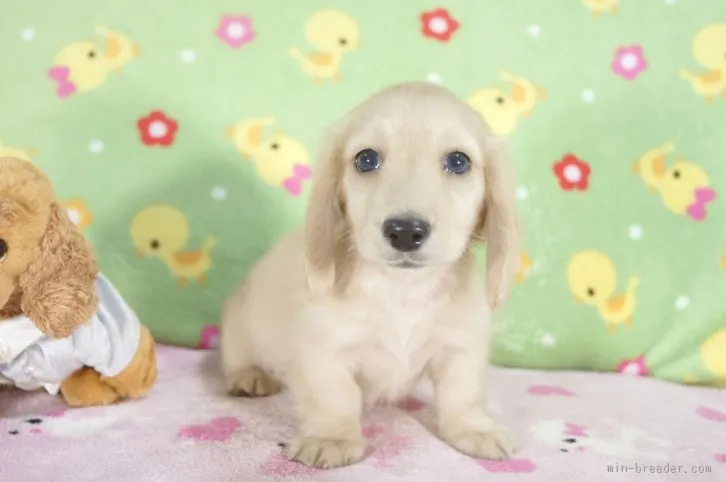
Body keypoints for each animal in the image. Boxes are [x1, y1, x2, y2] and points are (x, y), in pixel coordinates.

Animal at [219, 82, 520, 466]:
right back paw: (249, 376)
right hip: (238, 327)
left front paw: (473, 428)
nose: (405, 231)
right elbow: (334, 396)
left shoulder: (462, 348)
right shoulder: (323, 349)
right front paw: (331, 436)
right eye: (366, 159)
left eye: (458, 161)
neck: (403, 291)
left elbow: (463, 393)